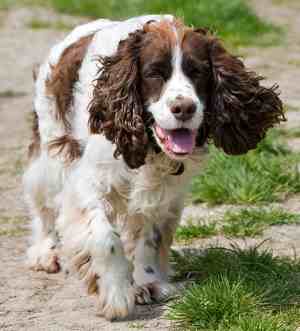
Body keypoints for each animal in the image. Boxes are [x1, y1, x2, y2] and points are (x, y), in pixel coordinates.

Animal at [22, 14, 284, 320]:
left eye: (198, 72)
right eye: (154, 73)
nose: (184, 108)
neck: (148, 146)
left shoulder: (163, 193)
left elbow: (149, 237)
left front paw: (147, 281)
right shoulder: (87, 182)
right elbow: (104, 237)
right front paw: (116, 292)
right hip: (51, 155)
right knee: (43, 207)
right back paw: (46, 251)